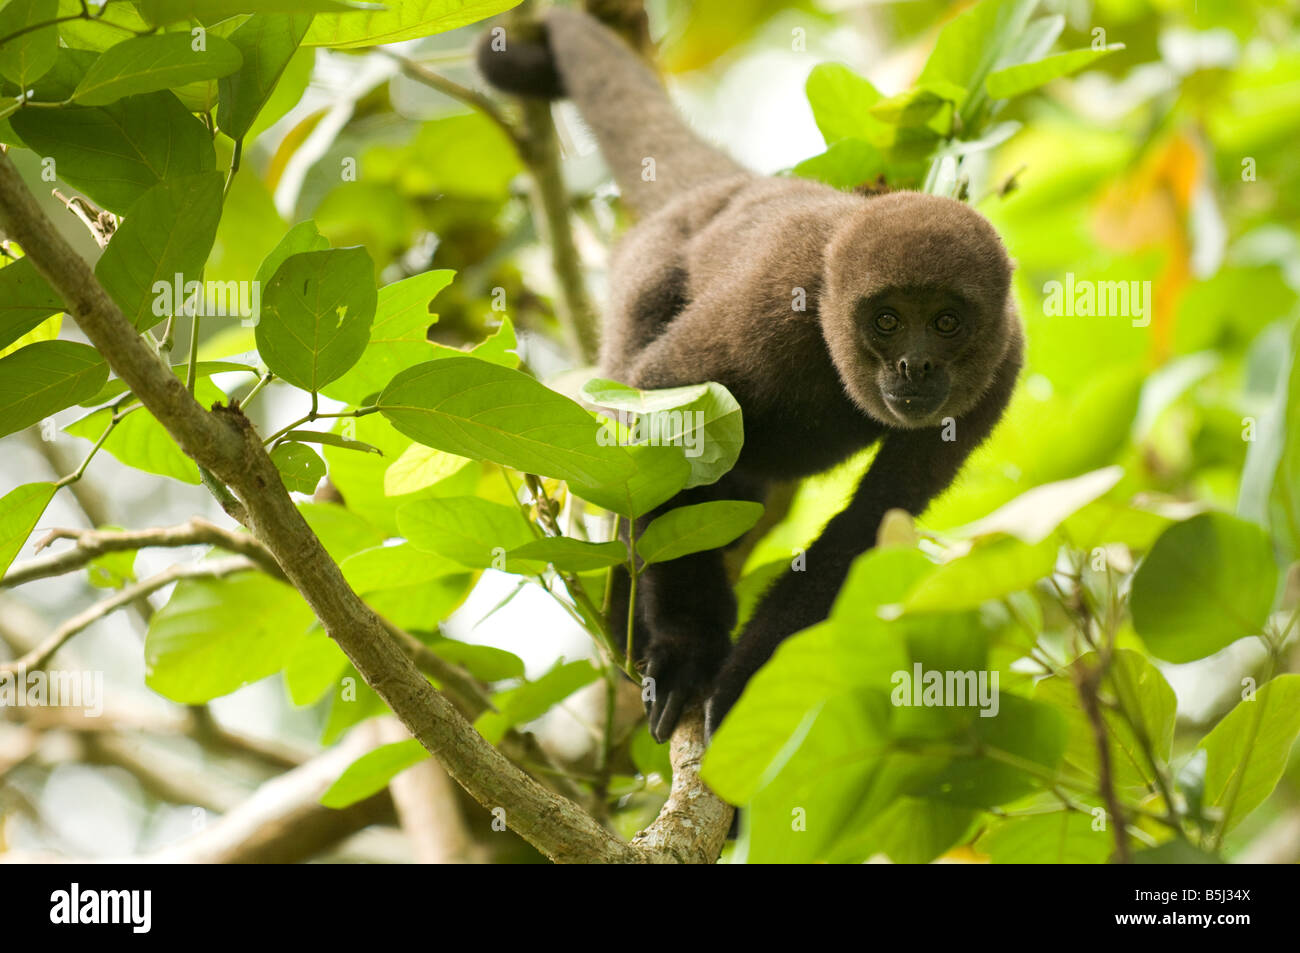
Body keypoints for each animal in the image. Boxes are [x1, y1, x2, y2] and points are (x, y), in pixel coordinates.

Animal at [478, 13, 1024, 743]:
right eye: (886, 320)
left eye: (946, 322)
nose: (915, 364)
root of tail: (722, 187)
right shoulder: (774, 304)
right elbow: (667, 397)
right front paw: (687, 648)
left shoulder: (1000, 370)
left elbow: (873, 518)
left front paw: (744, 682)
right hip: (647, 268)